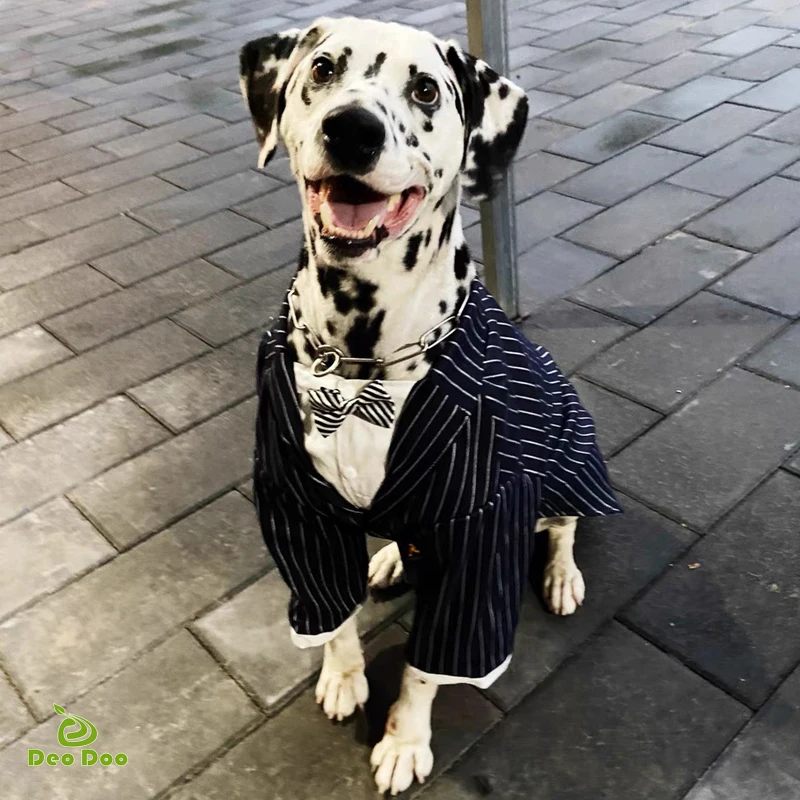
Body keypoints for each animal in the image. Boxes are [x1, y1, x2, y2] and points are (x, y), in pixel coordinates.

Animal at [241, 17, 621, 795]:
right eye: (322, 69)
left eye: (424, 89)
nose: (351, 128)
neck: (360, 361)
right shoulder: (294, 510)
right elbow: (332, 619)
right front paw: (342, 676)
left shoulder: (482, 532)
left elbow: (428, 667)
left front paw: (404, 741)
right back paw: (391, 557)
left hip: (571, 449)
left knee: (566, 523)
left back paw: (561, 574)